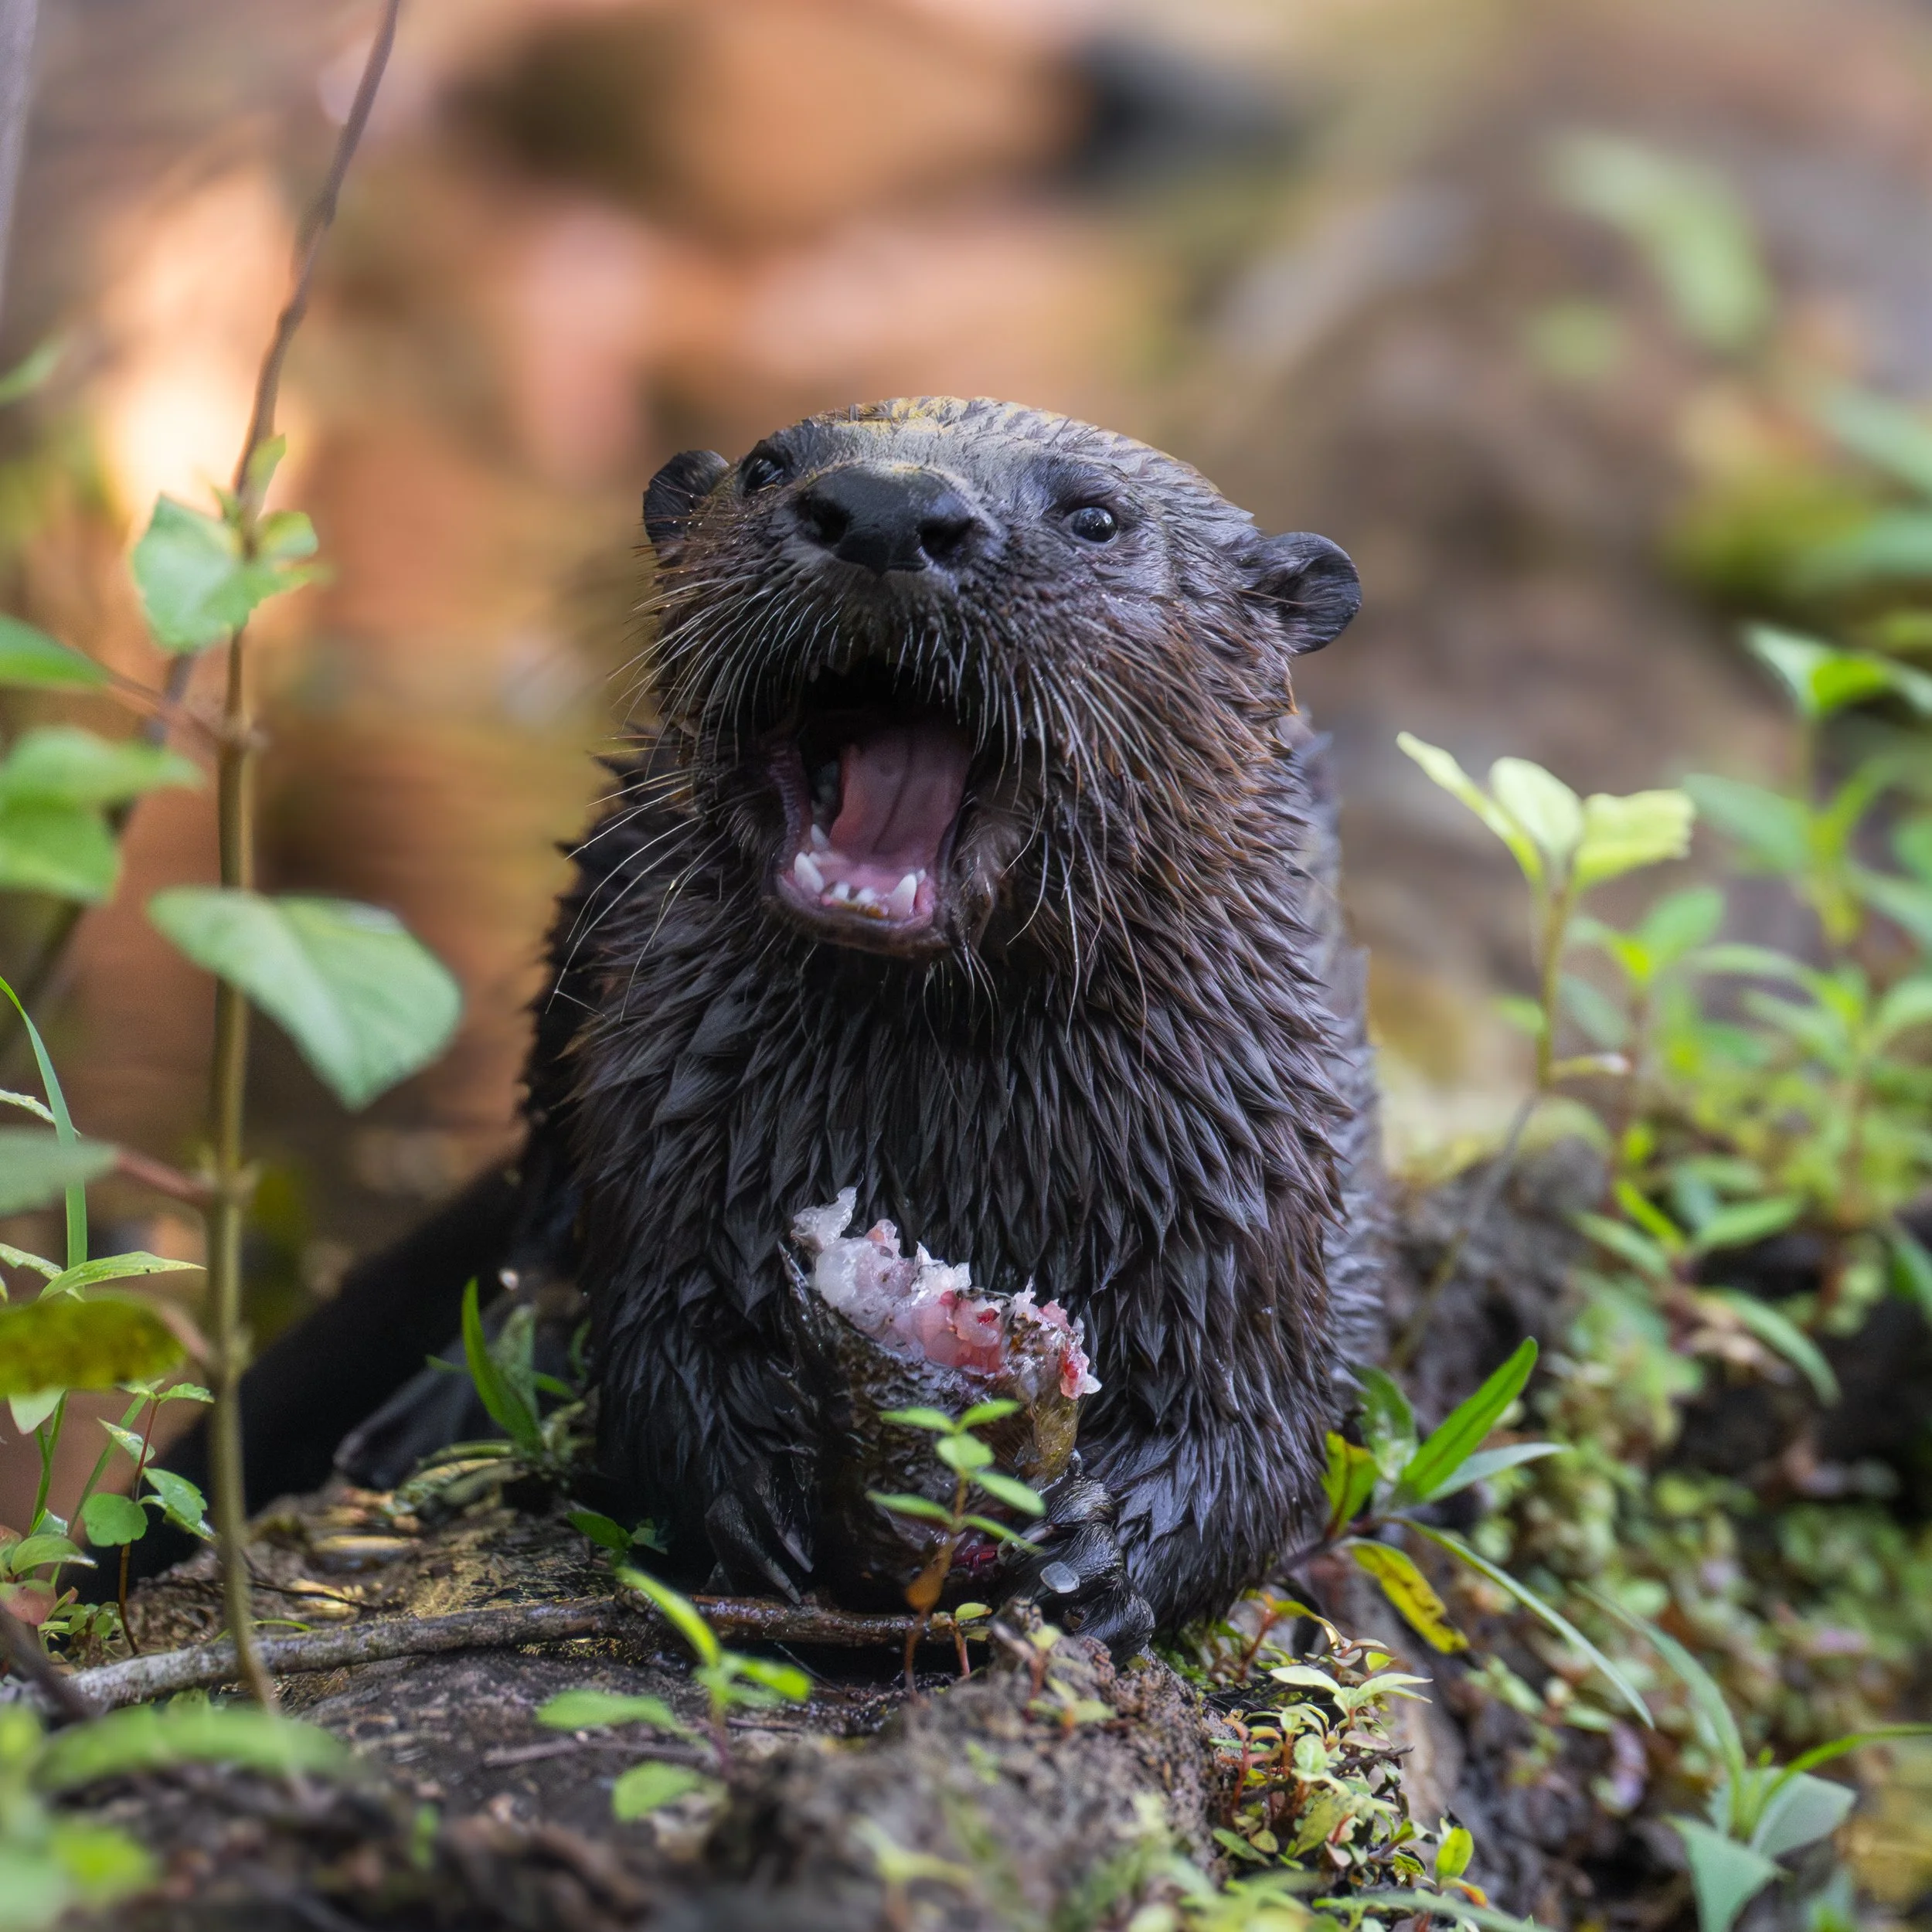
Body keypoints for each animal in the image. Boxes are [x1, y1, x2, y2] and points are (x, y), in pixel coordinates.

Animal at [143, 398, 1383, 1651]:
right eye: (766, 465)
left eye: (1096, 516)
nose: (887, 507)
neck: (951, 1132)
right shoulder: (664, 1109)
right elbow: (652, 1343)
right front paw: (754, 1475)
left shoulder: (1250, 1184)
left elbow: (1263, 1436)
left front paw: (1099, 1557)